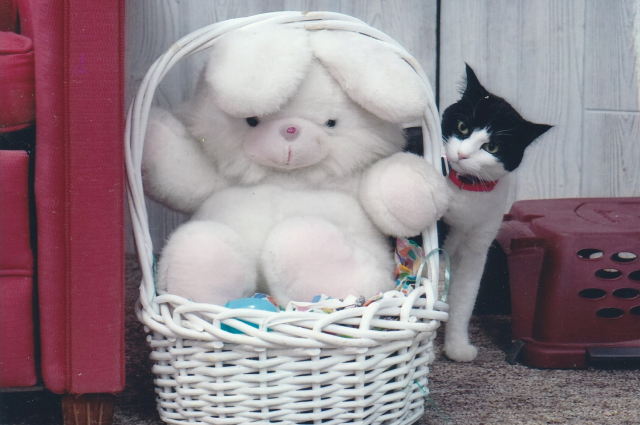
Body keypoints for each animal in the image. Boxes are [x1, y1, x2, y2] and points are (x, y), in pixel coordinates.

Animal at [440, 63, 552, 362]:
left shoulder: (477, 247)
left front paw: (457, 347)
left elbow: (465, 297)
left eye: (492, 147)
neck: (464, 189)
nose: (462, 155)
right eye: (463, 126)